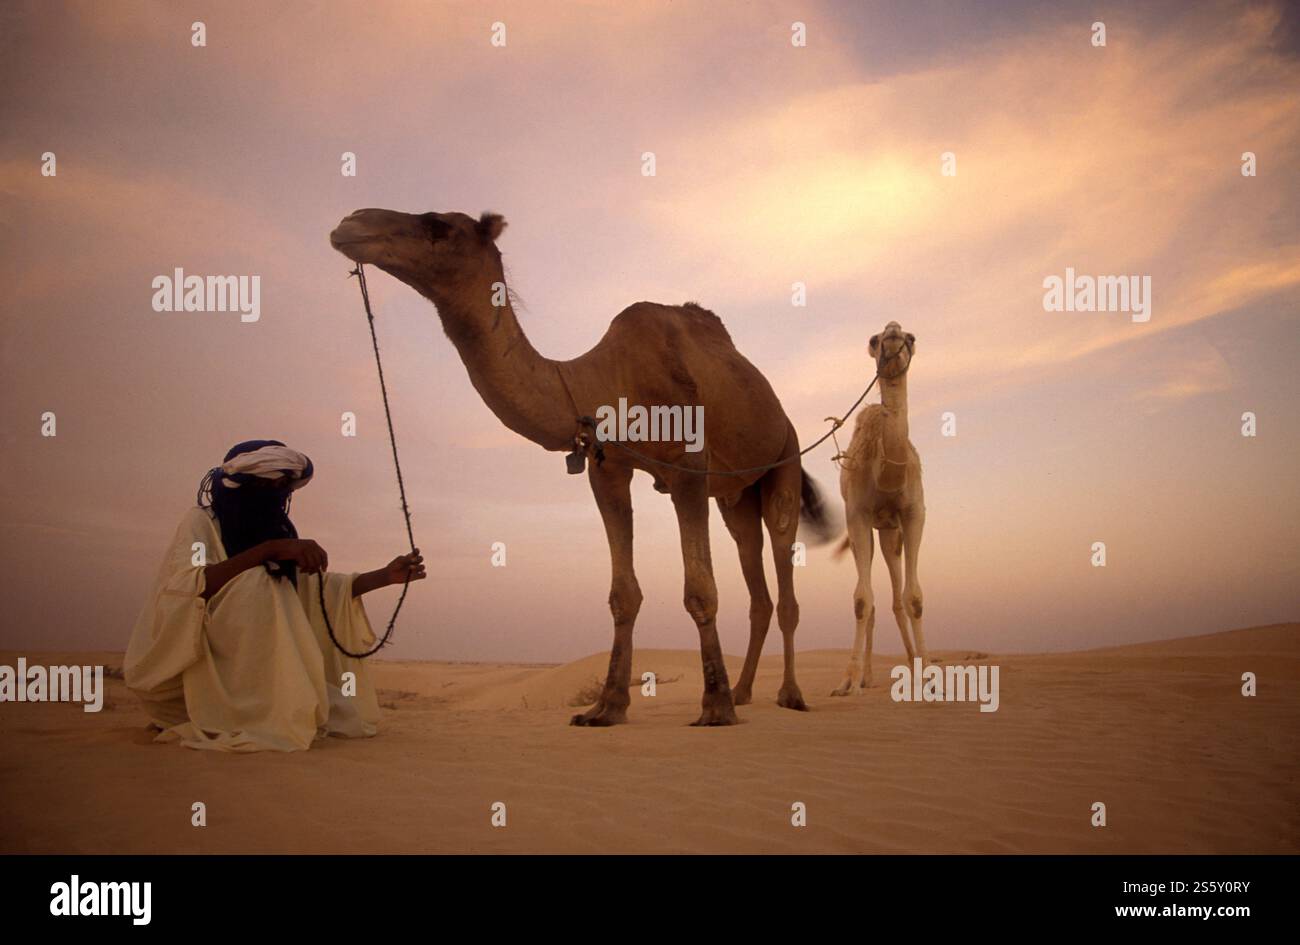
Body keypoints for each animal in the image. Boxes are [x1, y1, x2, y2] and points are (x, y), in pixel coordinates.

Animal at [329, 209, 834, 726]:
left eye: (437, 225)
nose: (352, 221)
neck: (601, 382)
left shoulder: (687, 466)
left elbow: (700, 589)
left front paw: (714, 706)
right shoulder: (606, 467)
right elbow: (623, 594)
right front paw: (606, 706)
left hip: (785, 459)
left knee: (784, 569)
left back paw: (789, 694)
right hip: (736, 496)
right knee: (756, 578)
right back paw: (747, 690)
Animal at [831, 321, 929, 696]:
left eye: (911, 338)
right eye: (874, 340)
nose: (893, 331)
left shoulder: (914, 513)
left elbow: (913, 597)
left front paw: (930, 675)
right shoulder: (856, 515)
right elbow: (861, 600)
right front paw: (847, 679)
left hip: (889, 531)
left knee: (897, 598)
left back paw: (911, 669)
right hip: (873, 530)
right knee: (871, 599)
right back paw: (866, 676)